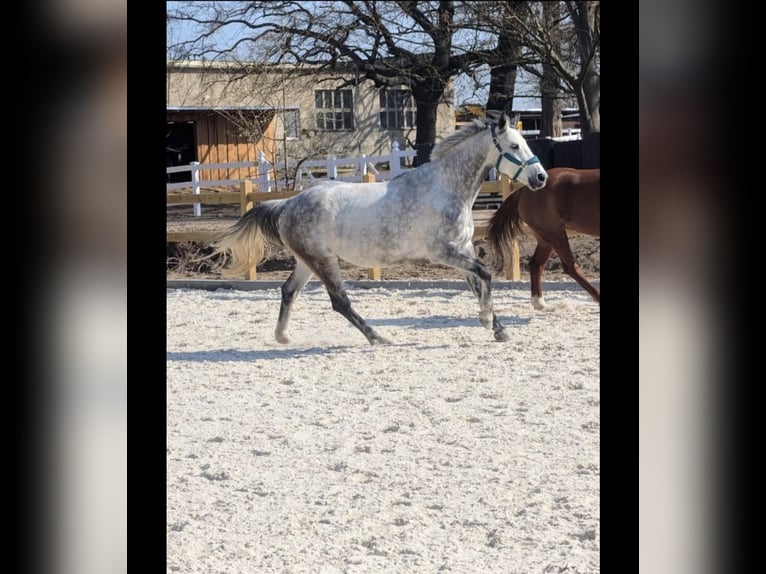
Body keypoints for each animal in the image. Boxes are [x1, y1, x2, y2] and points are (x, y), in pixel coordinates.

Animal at [211, 113, 548, 345]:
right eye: (515, 145)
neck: (446, 188)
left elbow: (478, 284)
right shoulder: (444, 253)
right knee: (339, 301)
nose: (541, 178)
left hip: (308, 261)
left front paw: (499, 329)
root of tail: (290, 202)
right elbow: (486, 275)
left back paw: (283, 337)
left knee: (289, 291)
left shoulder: (461, 251)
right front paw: (487, 320)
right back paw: (378, 337)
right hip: (323, 260)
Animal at [487, 167, 600, 310]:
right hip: (554, 233)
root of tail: (524, 189)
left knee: (536, 264)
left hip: (545, 238)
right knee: (570, 267)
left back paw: (539, 303)